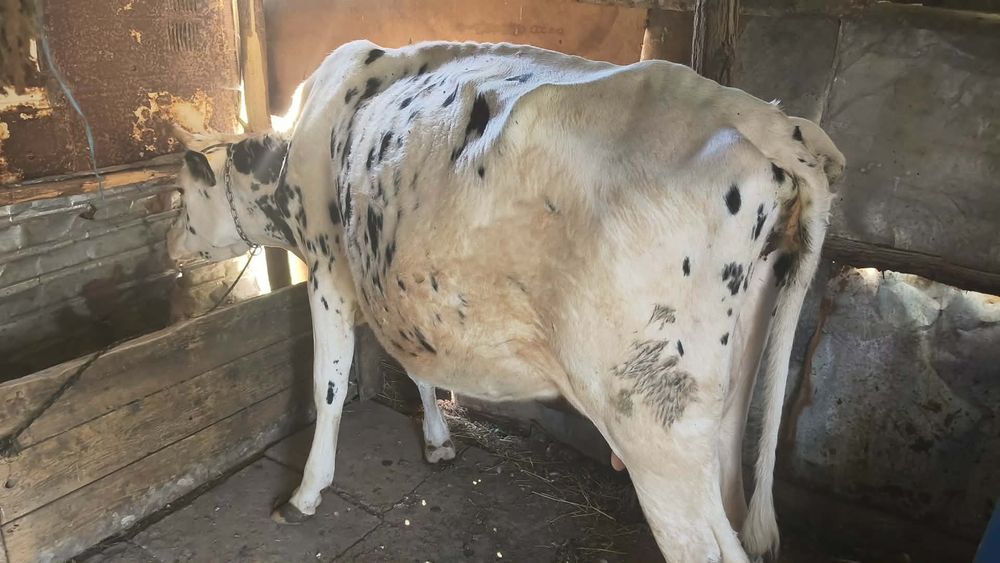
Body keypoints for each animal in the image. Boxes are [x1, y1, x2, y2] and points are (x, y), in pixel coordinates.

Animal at [167, 39, 844, 562]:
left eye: (180, 195)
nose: (170, 245)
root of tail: (766, 120)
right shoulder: (402, 287)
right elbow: (419, 368)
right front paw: (438, 442)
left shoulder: (330, 269)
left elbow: (327, 385)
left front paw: (305, 495)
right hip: (727, 395)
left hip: (653, 421)